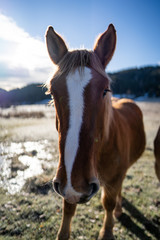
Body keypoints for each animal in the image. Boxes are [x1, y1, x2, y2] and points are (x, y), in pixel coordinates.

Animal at [45, 24, 146, 240]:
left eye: (105, 90)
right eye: (52, 92)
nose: (76, 184)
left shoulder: (113, 178)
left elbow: (108, 202)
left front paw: (107, 231)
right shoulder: (67, 186)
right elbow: (68, 208)